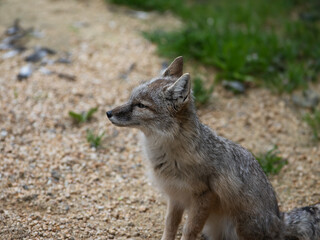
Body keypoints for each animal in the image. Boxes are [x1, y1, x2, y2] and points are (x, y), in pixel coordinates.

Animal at [107, 56, 320, 240]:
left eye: (141, 105)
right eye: (130, 99)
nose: (108, 113)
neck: (165, 153)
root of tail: (279, 220)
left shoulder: (204, 196)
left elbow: (189, 230)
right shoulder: (175, 197)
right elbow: (170, 226)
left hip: (239, 227)